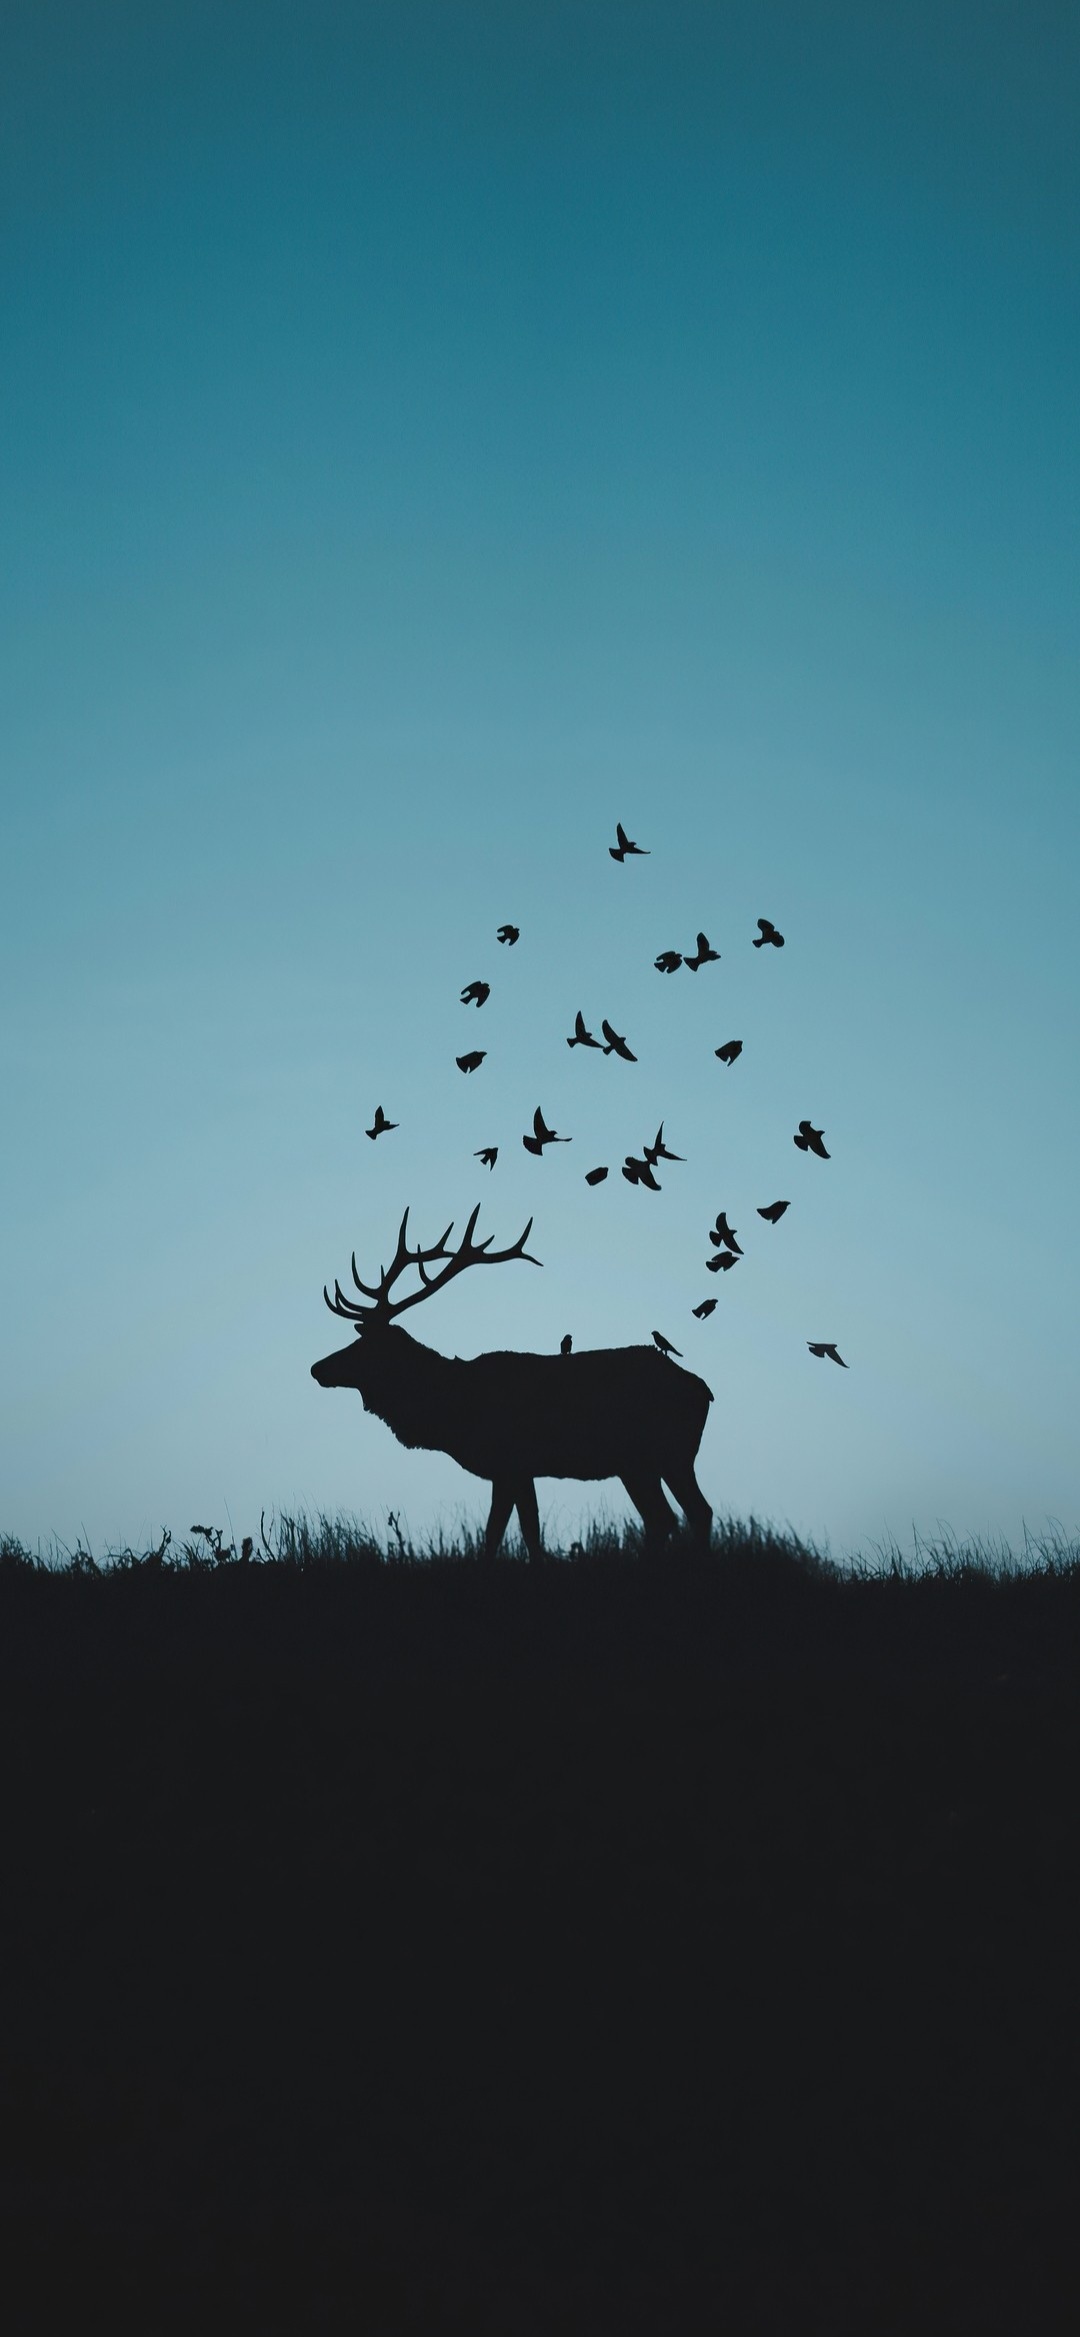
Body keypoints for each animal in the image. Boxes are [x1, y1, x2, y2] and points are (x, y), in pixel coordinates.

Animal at [310, 1206, 714, 1560]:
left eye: (365, 1346)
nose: (317, 1368)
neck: (454, 1414)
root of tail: (703, 1390)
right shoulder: (513, 1472)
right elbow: (512, 1535)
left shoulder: (512, 1463)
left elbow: (512, 1534)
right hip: (649, 1462)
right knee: (680, 1515)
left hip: (660, 1453)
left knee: (680, 1515)